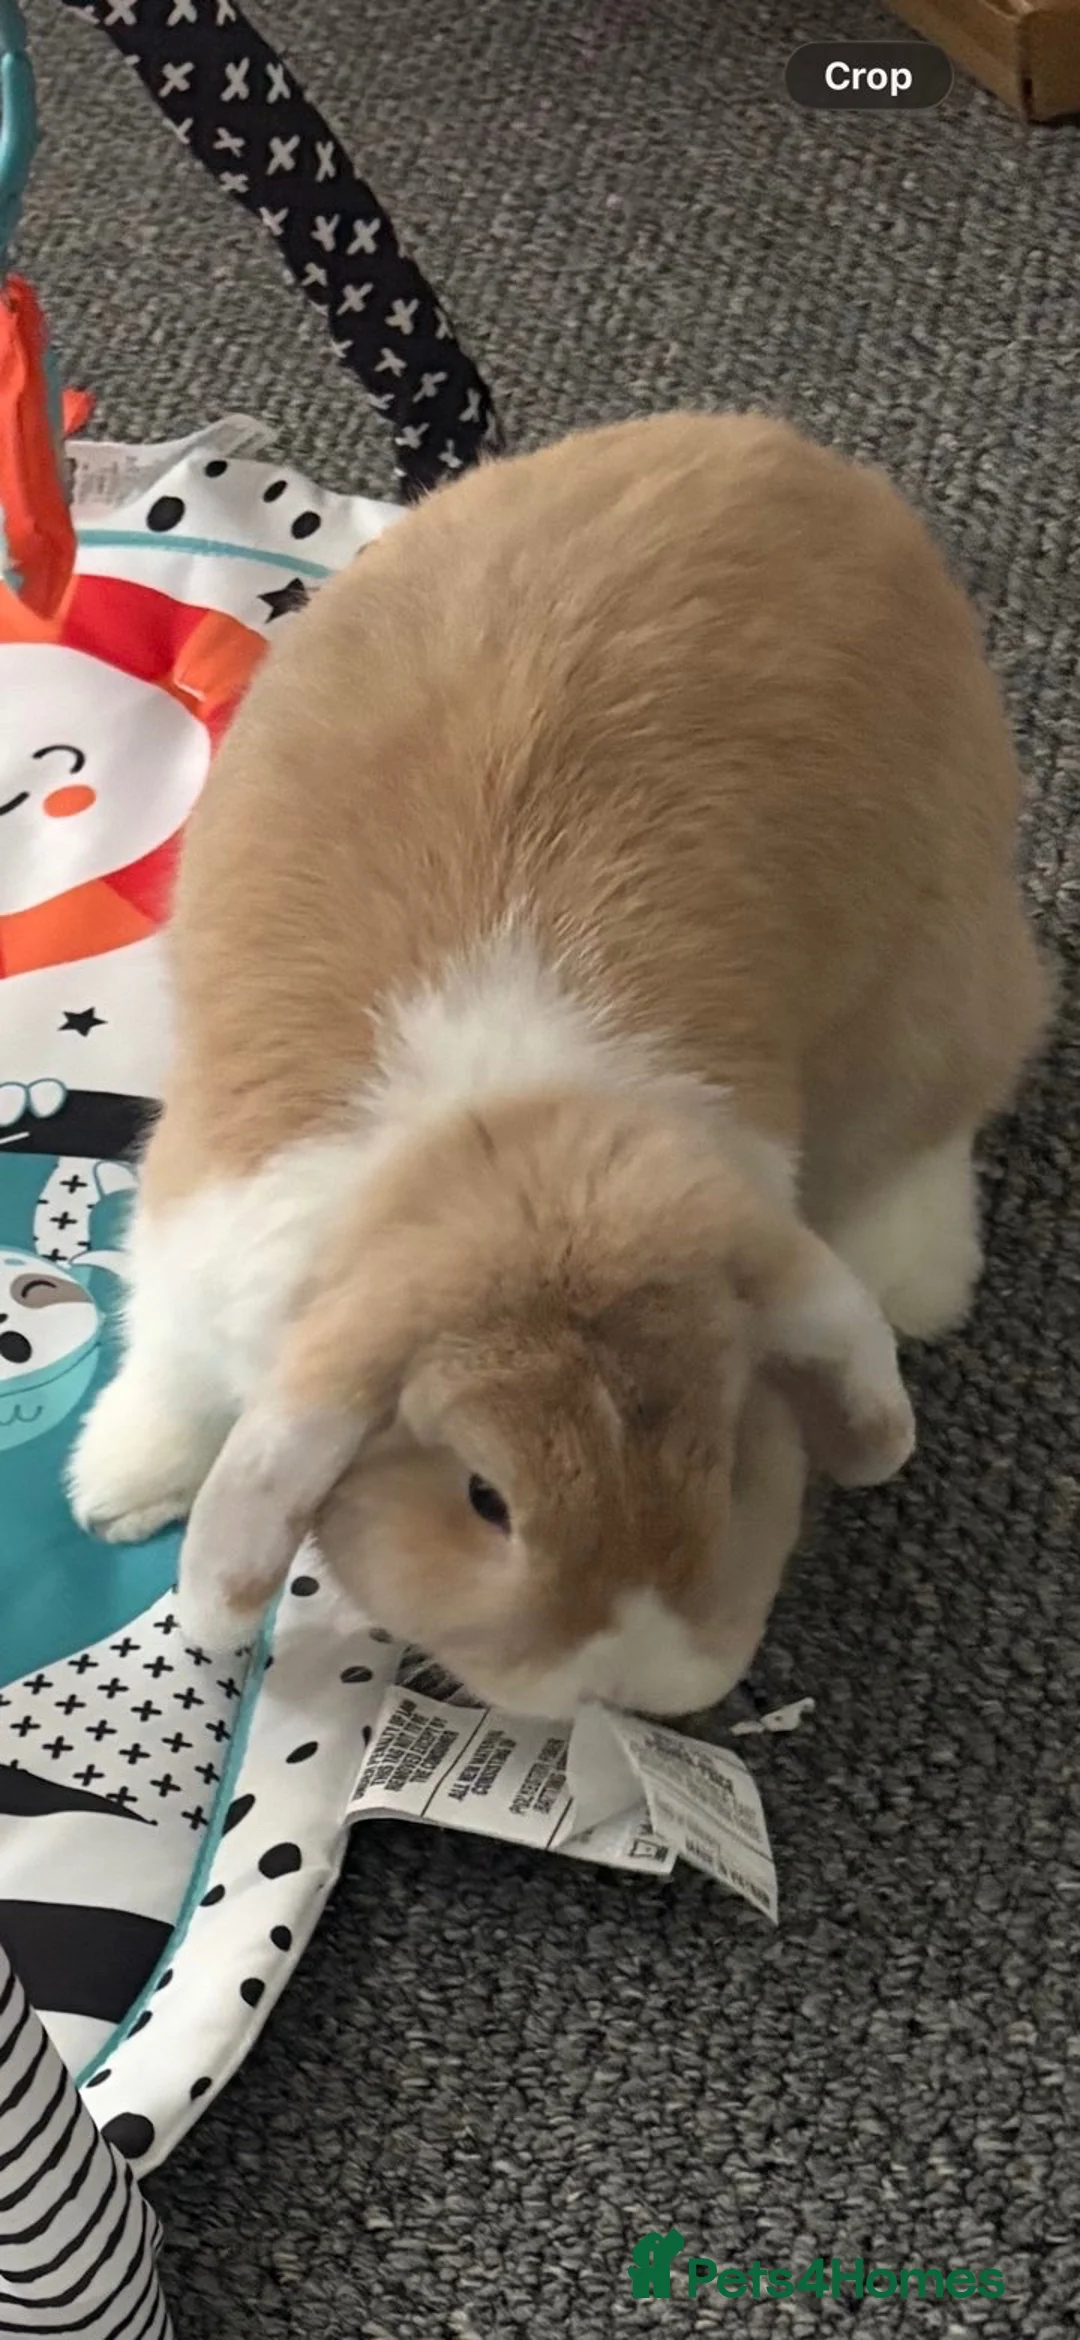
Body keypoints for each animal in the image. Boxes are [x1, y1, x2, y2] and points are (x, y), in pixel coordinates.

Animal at [67, 410, 1049, 1718]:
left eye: (725, 1457)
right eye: (485, 1499)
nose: (634, 1683)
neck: (509, 1141)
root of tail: (785, 449)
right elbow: (170, 1361)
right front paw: (119, 1490)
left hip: (933, 966)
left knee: (940, 1106)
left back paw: (915, 1276)